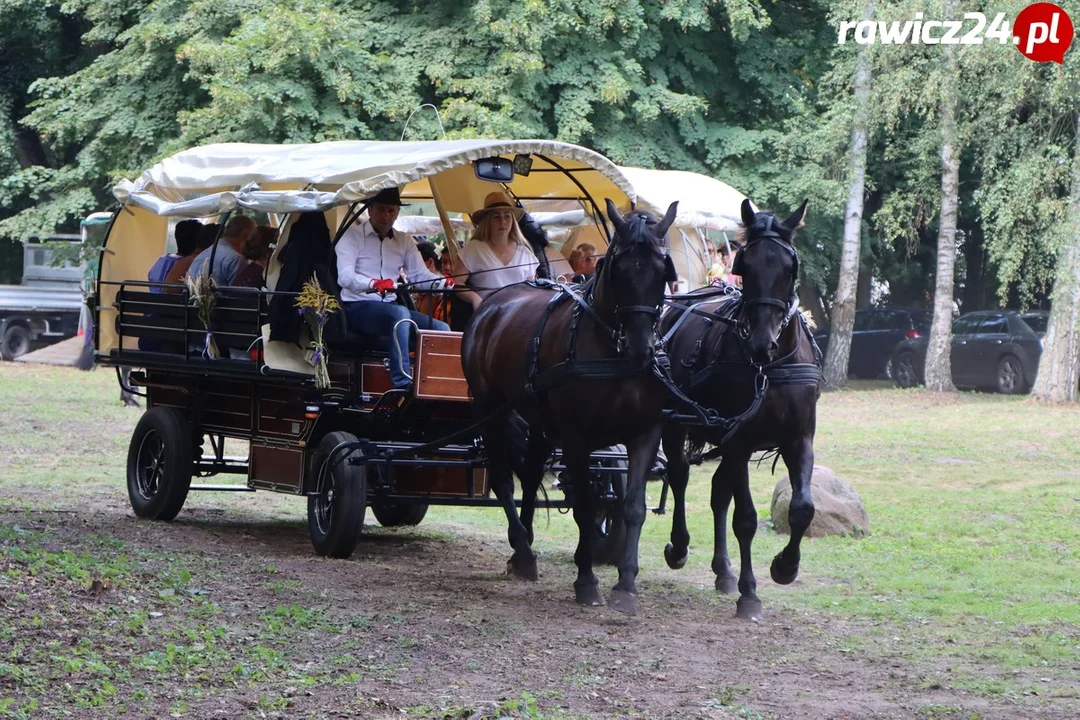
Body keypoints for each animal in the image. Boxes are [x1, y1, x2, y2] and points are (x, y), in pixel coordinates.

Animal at [462, 199, 678, 617]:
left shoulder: (644, 434)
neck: (613, 352)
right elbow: (582, 505)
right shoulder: (578, 439)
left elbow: (633, 507)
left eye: (663, 271)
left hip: (540, 419)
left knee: (530, 476)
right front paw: (586, 581)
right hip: (492, 410)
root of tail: (493, 305)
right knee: (503, 480)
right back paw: (523, 550)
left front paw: (626, 585)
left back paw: (524, 544)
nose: (641, 350)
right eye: (618, 269)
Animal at [656, 197, 816, 621]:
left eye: (790, 268)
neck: (768, 369)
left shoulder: (799, 439)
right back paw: (680, 547)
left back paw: (723, 570)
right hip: (676, 425)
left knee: (717, 492)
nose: (762, 342)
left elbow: (802, 509)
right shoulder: (738, 441)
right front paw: (750, 593)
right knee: (679, 475)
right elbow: (745, 519)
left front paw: (785, 566)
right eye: (745, 265)